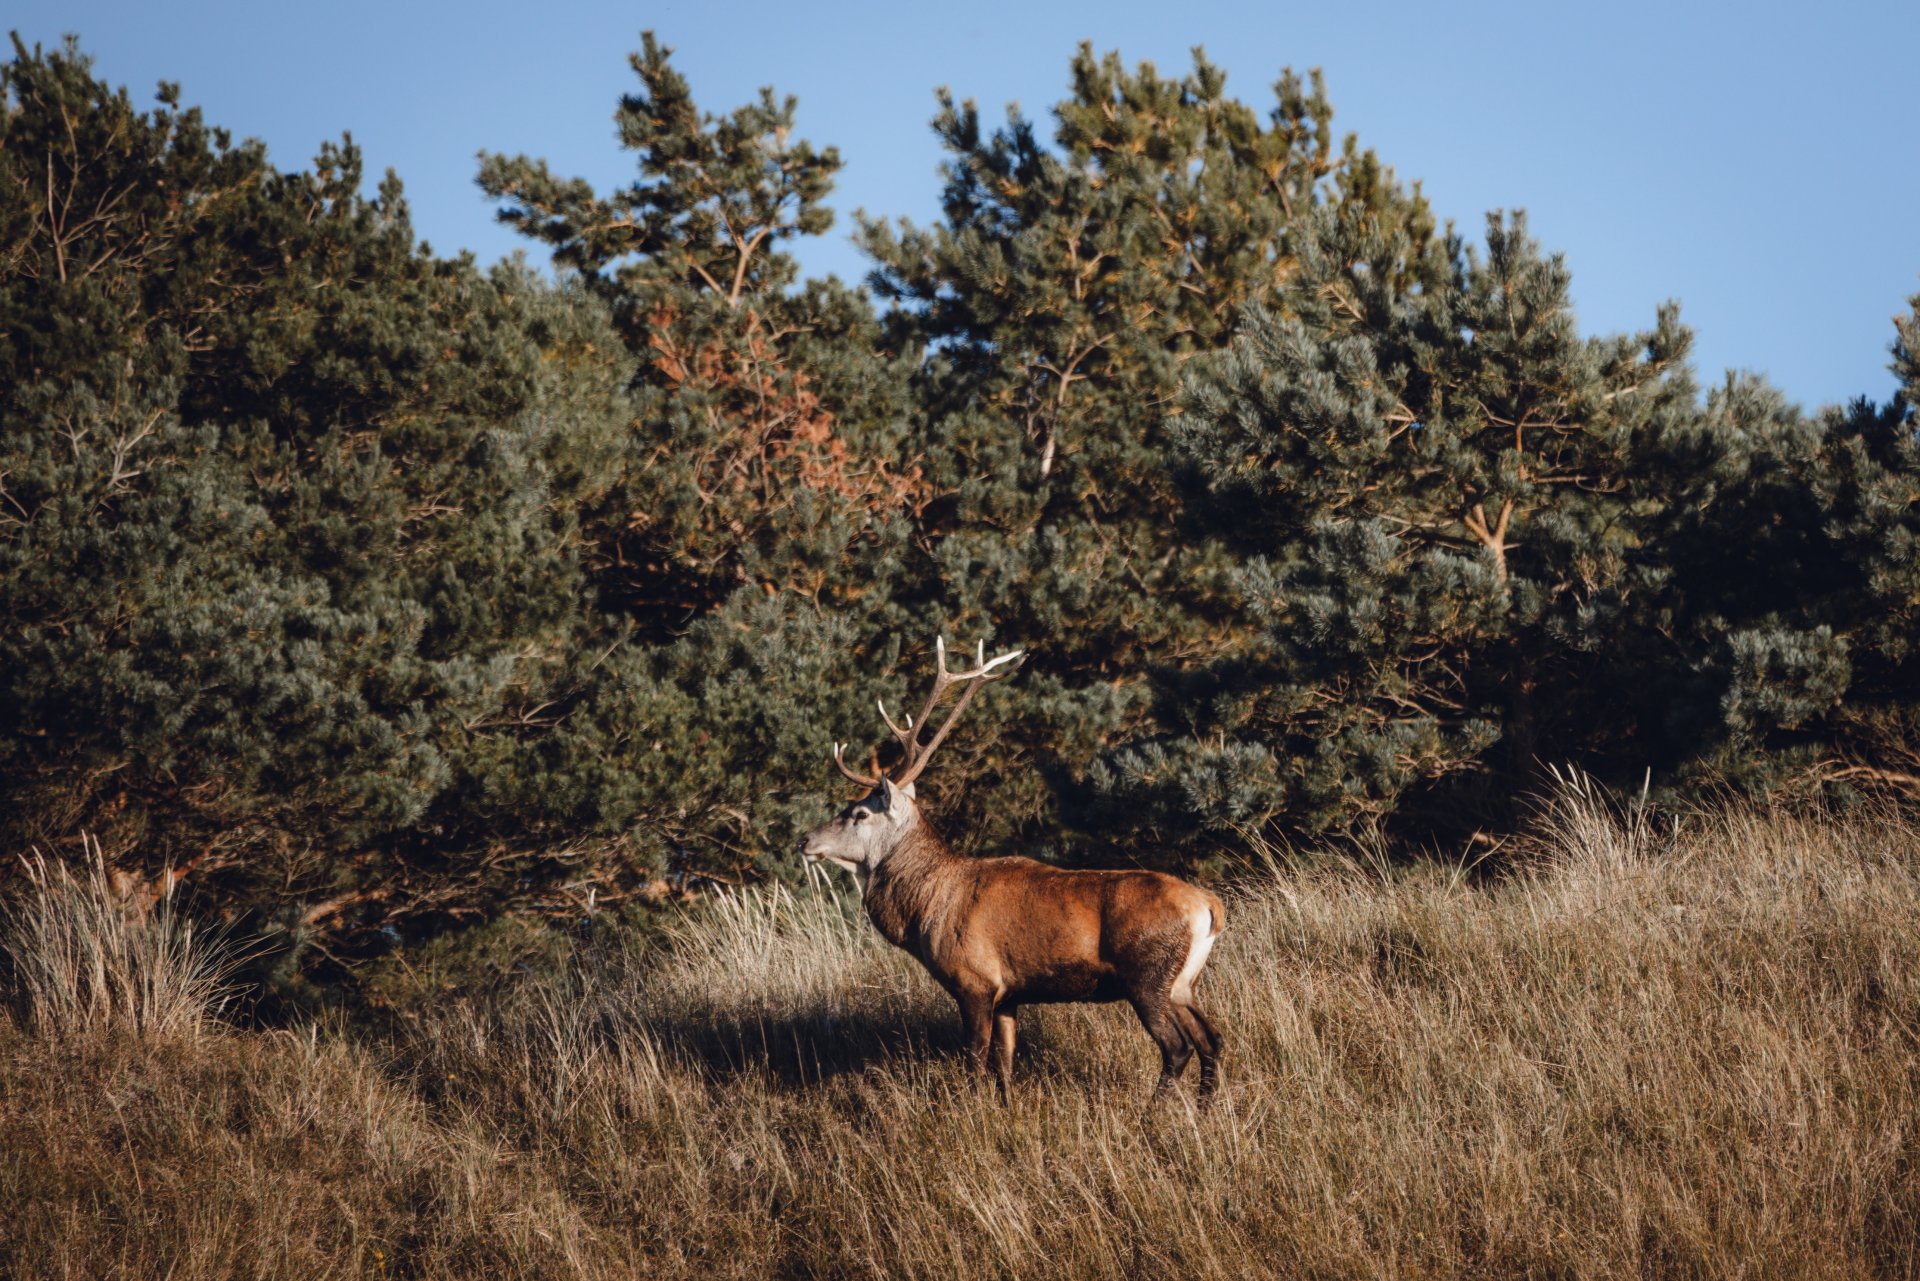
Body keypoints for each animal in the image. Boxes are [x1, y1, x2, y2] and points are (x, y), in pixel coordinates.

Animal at [801, 637, 1225, 1101]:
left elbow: (975, 1061)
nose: (806, 840)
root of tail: (1209, 907)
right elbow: (1005, 1065)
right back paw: (1205, 1107)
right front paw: (1007, 1108)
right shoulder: (1008, 995)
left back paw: (1156, 1110)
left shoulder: (974, 981)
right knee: (1212, 1039)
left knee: (1179, 1046)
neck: (925, 910)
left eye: (859, 813)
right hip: (1183, 983)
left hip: (1148, 975)